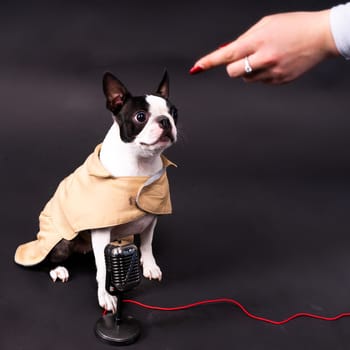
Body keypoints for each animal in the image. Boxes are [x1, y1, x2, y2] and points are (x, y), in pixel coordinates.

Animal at [14, 71, 176, 312]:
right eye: (140, 116)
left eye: (174, 112)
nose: (165, 121)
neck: (140, 166)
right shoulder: (101, 231)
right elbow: (103, 267)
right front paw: (107, 295)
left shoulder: (151, 217)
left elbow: (147, 244)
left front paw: (149, 265)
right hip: (62, 241)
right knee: (46, 259)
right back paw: (57, 269)